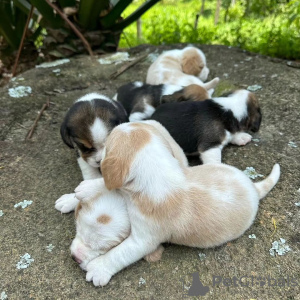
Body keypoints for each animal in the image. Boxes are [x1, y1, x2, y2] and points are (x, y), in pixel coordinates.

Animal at [72, 119, 278, 286]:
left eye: (106, 146)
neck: (157, 171)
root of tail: (253, 187)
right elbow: (110, 187)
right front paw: (88, 187)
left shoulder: (143, 240)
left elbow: (120, 253)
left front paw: (98, 269)